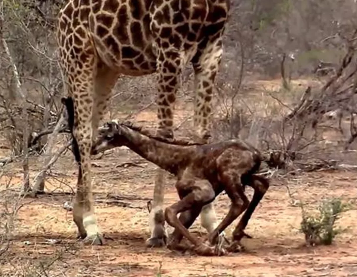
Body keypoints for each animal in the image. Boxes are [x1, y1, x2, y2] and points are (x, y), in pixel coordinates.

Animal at [56, 0, 229, 245]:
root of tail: (62, 16)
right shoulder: (169, 47)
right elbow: (165, 134)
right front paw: (157, 226)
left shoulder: (212, 48)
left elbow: (201, 134)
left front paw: (213, 224)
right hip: (78, 56)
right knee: (82, 132)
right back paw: (92, 226)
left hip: (107, 66)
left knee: (89, 130)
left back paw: (80, 221)